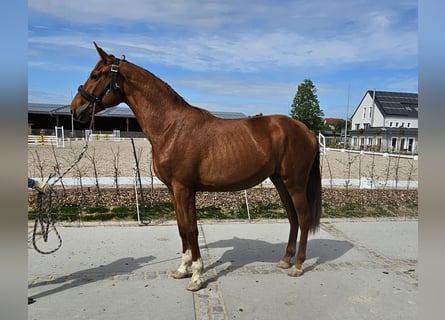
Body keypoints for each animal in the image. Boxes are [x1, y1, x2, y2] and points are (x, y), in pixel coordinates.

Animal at [69, 43, 320, 292]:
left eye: (95, 75)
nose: (75, 109)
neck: (170, 127)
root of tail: (305, 129)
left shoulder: (184, 188)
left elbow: (191, 229)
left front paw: (197, 276)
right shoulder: (173, 190)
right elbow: (182, 228)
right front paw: (183, 269)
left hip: (295, 184)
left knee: (303, 217)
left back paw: (298, 265)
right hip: (280, 181)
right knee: (293, 217)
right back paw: (285, 260)